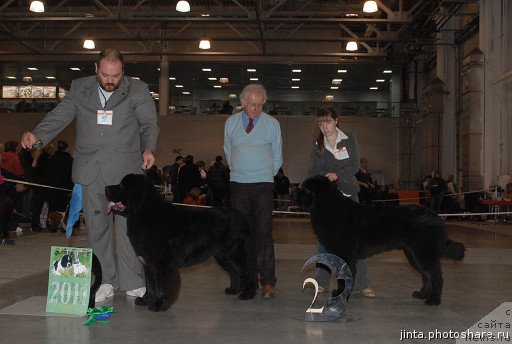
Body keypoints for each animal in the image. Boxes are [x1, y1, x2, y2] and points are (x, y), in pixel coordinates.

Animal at [104, 175, 258, 312]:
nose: (105, 188)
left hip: (235, 254)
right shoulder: (148, 263)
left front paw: (159, 305)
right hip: (223, 256)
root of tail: (241, 216)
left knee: (247, 272)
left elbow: (162, 286)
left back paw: (248, 294)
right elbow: (151, 284)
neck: (144, 212)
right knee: (234, 272)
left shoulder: (162, 264)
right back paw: (233, 290)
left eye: (122, 186)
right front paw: (146, 299)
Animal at [298, 176, 466, 306]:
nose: (294, 193)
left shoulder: (346, 255)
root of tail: (436, 217)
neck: (330, 208)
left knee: (436, 277)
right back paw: (421, 295)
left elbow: (344, 278)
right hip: (413, 254)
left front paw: (341, 297)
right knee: (426, 276)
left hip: (423, 253)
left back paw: (433, 300)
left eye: (305, 189)